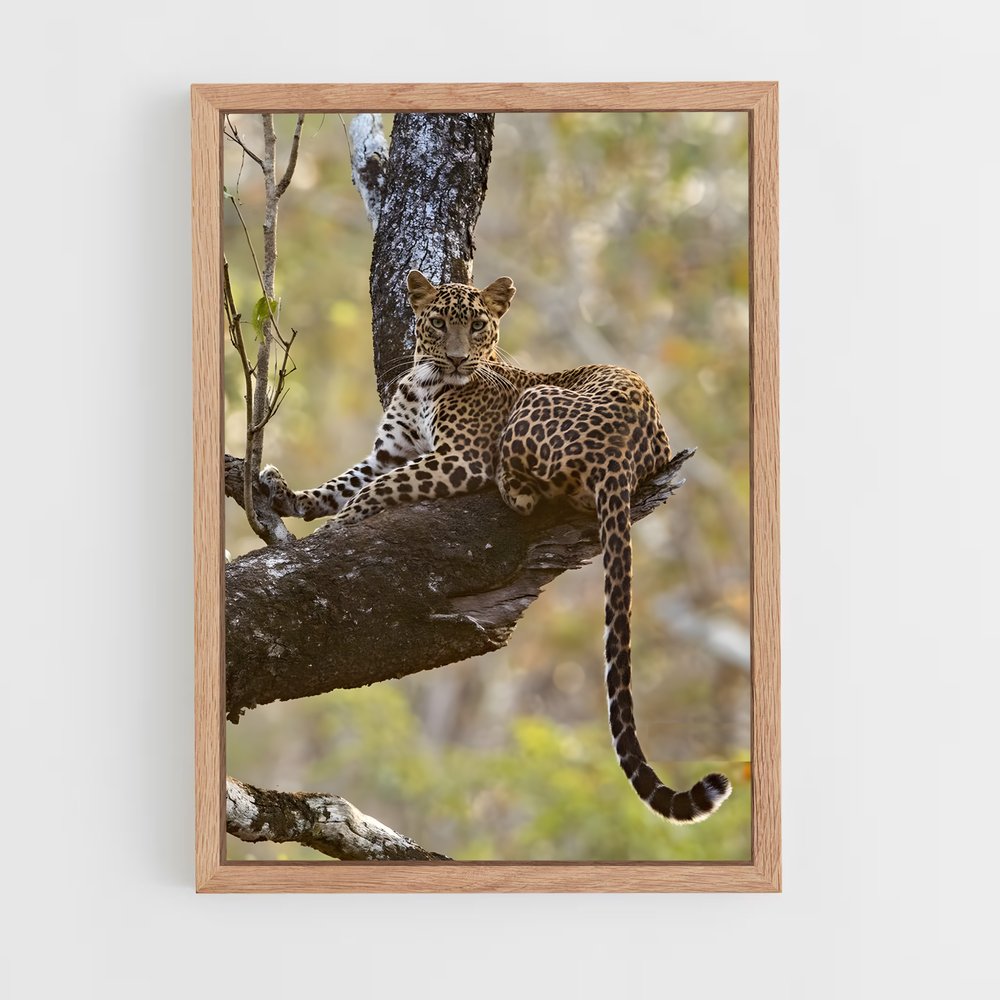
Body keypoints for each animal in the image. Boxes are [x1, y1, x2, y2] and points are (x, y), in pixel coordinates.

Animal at [261, 269, 732, 824]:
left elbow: (376, 490)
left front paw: (335, 532)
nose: (458, 359)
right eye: (438, 324)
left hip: (533, 406)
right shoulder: (389, 452)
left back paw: (512, 484)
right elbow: (344, 483)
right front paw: (288, 495)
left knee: (528, 494)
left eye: (478, 325)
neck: (424, 383)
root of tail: (625, 454)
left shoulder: (459, 459)